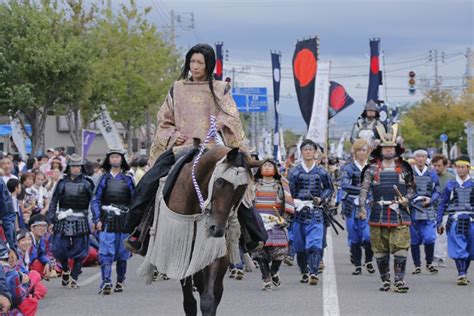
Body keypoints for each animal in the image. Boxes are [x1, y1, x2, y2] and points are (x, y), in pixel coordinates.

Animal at [164, 146, 258, 316]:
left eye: (242, 188)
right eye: (219, 181)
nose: (217, 229)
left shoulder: (214, 252)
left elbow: (209, 299)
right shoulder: (180, 253)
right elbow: (189, 302)